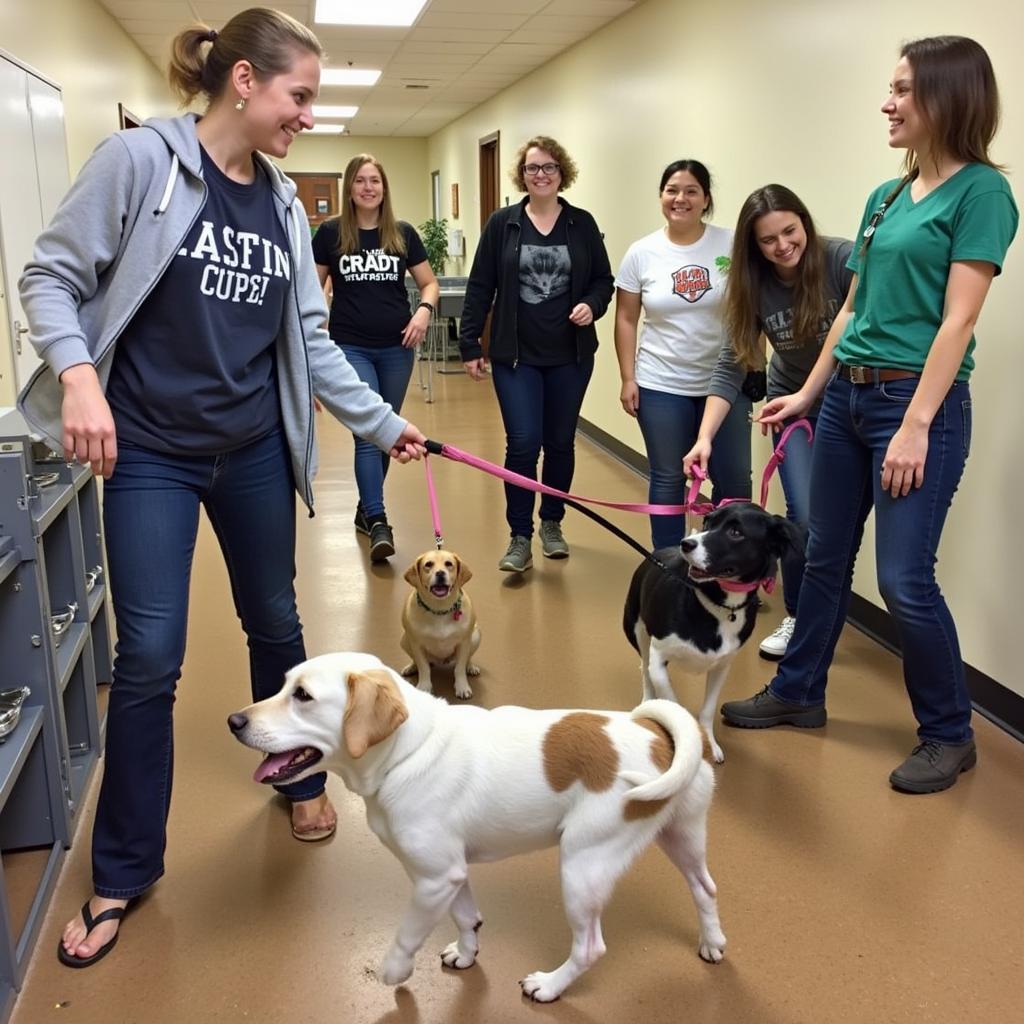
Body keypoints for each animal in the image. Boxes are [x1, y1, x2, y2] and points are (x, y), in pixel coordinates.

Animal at [230, 655, 729, 999]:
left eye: (303, 696)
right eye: (284, 686)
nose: (234, 720)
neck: (409, 750)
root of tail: (659, 734)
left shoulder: (433, 880)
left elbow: (408, 934)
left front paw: (394, 971)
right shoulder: (452, 874)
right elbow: (468, 917)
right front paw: (467, 955)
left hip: (583, 867)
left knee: (590, 948)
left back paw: (550, 986)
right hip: (681, 838)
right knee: (705, 888)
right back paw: (712, 941)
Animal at [399, 548, 479, 700]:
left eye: (449, 564)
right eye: (428, 564)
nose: (440, 573)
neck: (439, 610)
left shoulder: (464, 642)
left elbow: (459, 668)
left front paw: (462, 686)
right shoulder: (416, 644)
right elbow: (424, 668)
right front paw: (424, 687)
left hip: (476, 636)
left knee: (468, 658)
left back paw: (471, 666)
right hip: (404, 640)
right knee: (417, 661)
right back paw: (411, 667)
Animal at [618, 503, 802, 761]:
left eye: (736, 532)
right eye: (707, 522)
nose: (686, 543)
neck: (718, 605)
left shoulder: (721, 667)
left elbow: (707, 709)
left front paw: (709, 742)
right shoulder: (659, 657)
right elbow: (672, 700)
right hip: (637, 631)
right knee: (644, 668)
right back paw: (647, 700)